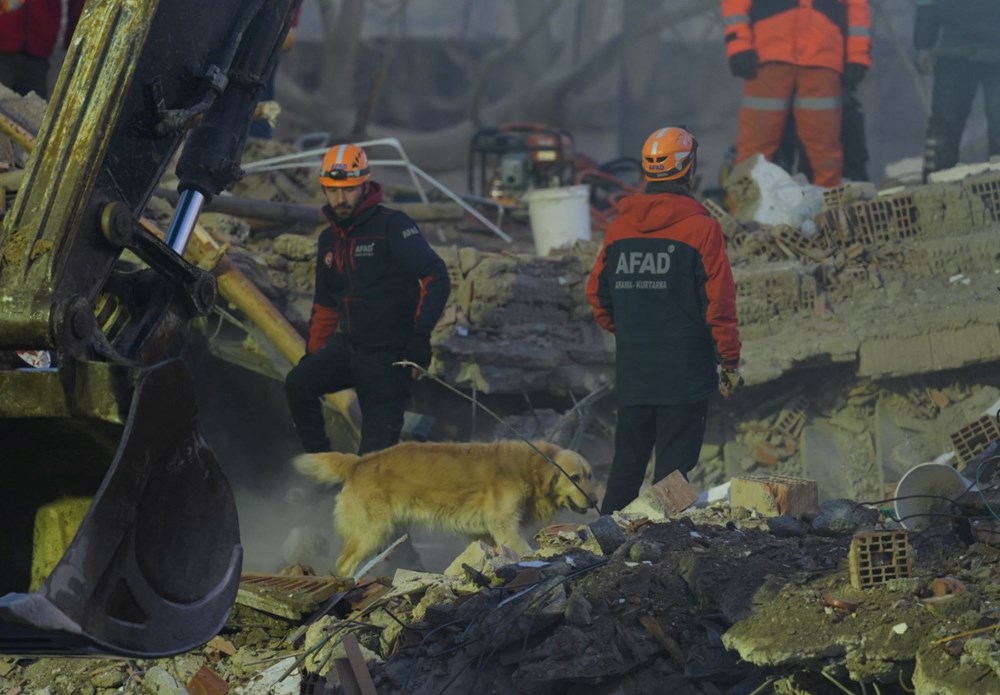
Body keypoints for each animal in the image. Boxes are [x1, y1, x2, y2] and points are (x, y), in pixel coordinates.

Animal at [294, 440, 592, 576]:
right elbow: (521, 548)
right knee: (344, 565)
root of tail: (357, 463)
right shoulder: (503, 524)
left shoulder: (486, 533)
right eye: (574, 477)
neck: (529, 467)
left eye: (589, 476)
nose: (593, 502)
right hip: (372, 533)